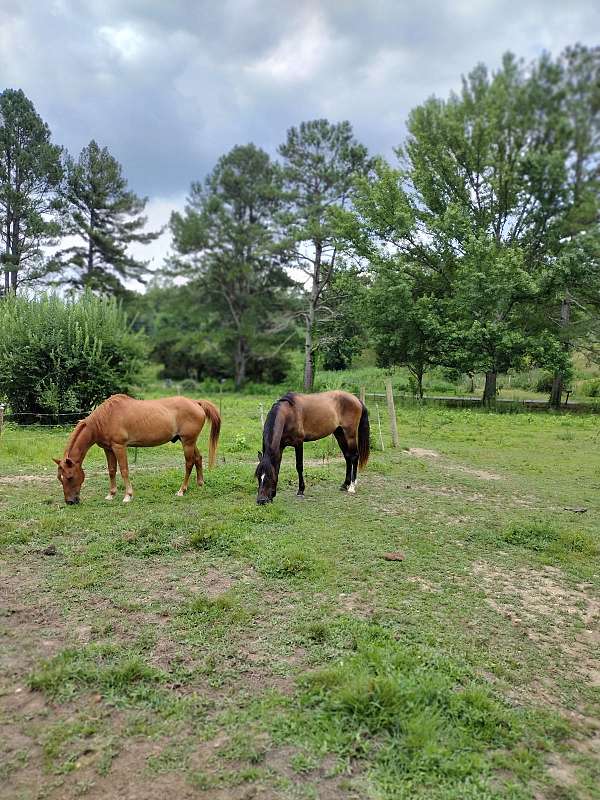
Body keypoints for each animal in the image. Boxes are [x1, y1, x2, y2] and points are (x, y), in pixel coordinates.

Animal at [54, 396, 221, 504]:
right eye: (60, 478)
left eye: (69, 477)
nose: (70, 502)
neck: (105, 418)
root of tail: (196, 403)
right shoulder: (108, 449)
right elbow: (112, 470)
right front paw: (111, 494)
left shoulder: (119, 447)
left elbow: (124, 470)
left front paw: (128, 495)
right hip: (188, 441)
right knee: (198, 458)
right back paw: (200, 484)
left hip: (187, 442)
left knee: (189, 463)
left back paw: (181, 490)